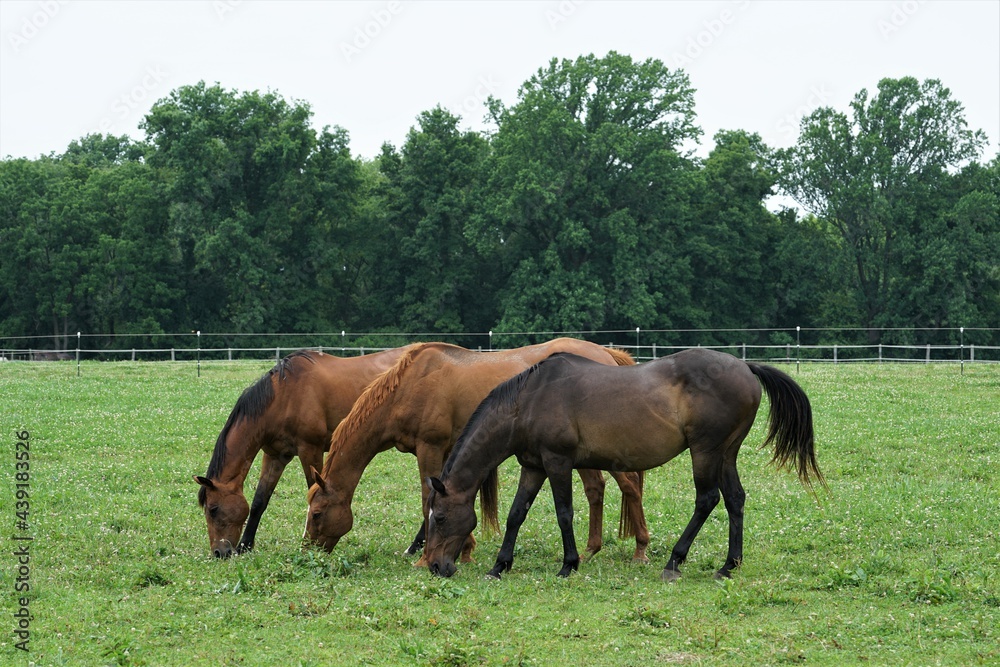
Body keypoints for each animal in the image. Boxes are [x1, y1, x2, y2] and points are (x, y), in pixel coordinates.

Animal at [193, 348, 412, 560]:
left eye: (213, 509)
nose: (219, 552)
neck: (285, 396)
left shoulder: (310, 450)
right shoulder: (275, 456)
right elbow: (258, 502)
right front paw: (244, 547)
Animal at [304, 342, 648, 568]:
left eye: (317, 514)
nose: (308, 549)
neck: (411, 385)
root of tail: (607, 354)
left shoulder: (429, 448)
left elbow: (426, 499)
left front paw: (428, 555)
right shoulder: (446, 452)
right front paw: (463, 549)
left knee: (629, 485)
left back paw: (640, 549)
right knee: (596, 488)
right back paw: (591, 550)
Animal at [426, 352, 824, 580]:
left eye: (440, 517)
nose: (435, 566)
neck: (530, 399)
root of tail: (744, 366)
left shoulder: (558, 462)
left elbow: (564, 513)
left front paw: (569, 564)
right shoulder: (533, 466)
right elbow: (516, 514)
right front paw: (499, 566)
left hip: (706, 451)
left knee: (706, 499)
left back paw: (674, 562)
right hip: (726, 453)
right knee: (735, 499)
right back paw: (729, 565)